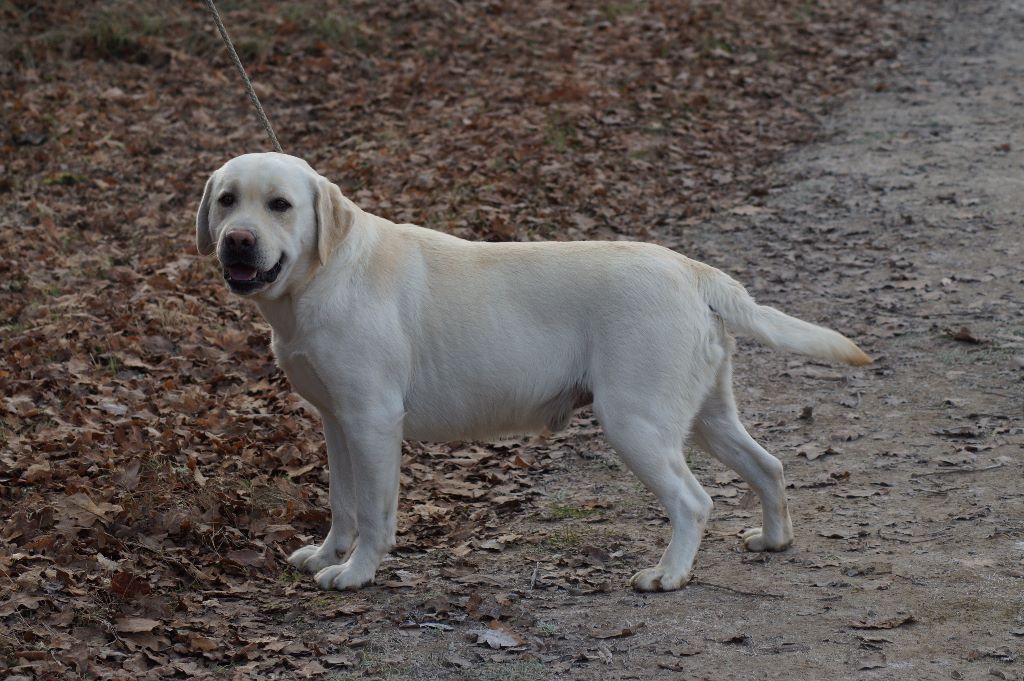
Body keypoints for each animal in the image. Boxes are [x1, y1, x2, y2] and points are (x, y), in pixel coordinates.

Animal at [195, 152, 868, 589]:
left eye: (280, 205)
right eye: (227, 200)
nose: (237, 241)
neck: (321, 277)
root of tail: (695, 271)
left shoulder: (373, 421)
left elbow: (376, 514)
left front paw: (356, 574)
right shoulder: (336, 421)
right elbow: (342, 503)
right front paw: (325, 555)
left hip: (636, 422)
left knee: (694, 501)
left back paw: (668, 575)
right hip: (703, 416)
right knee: (769, 465)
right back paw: (774, 540)